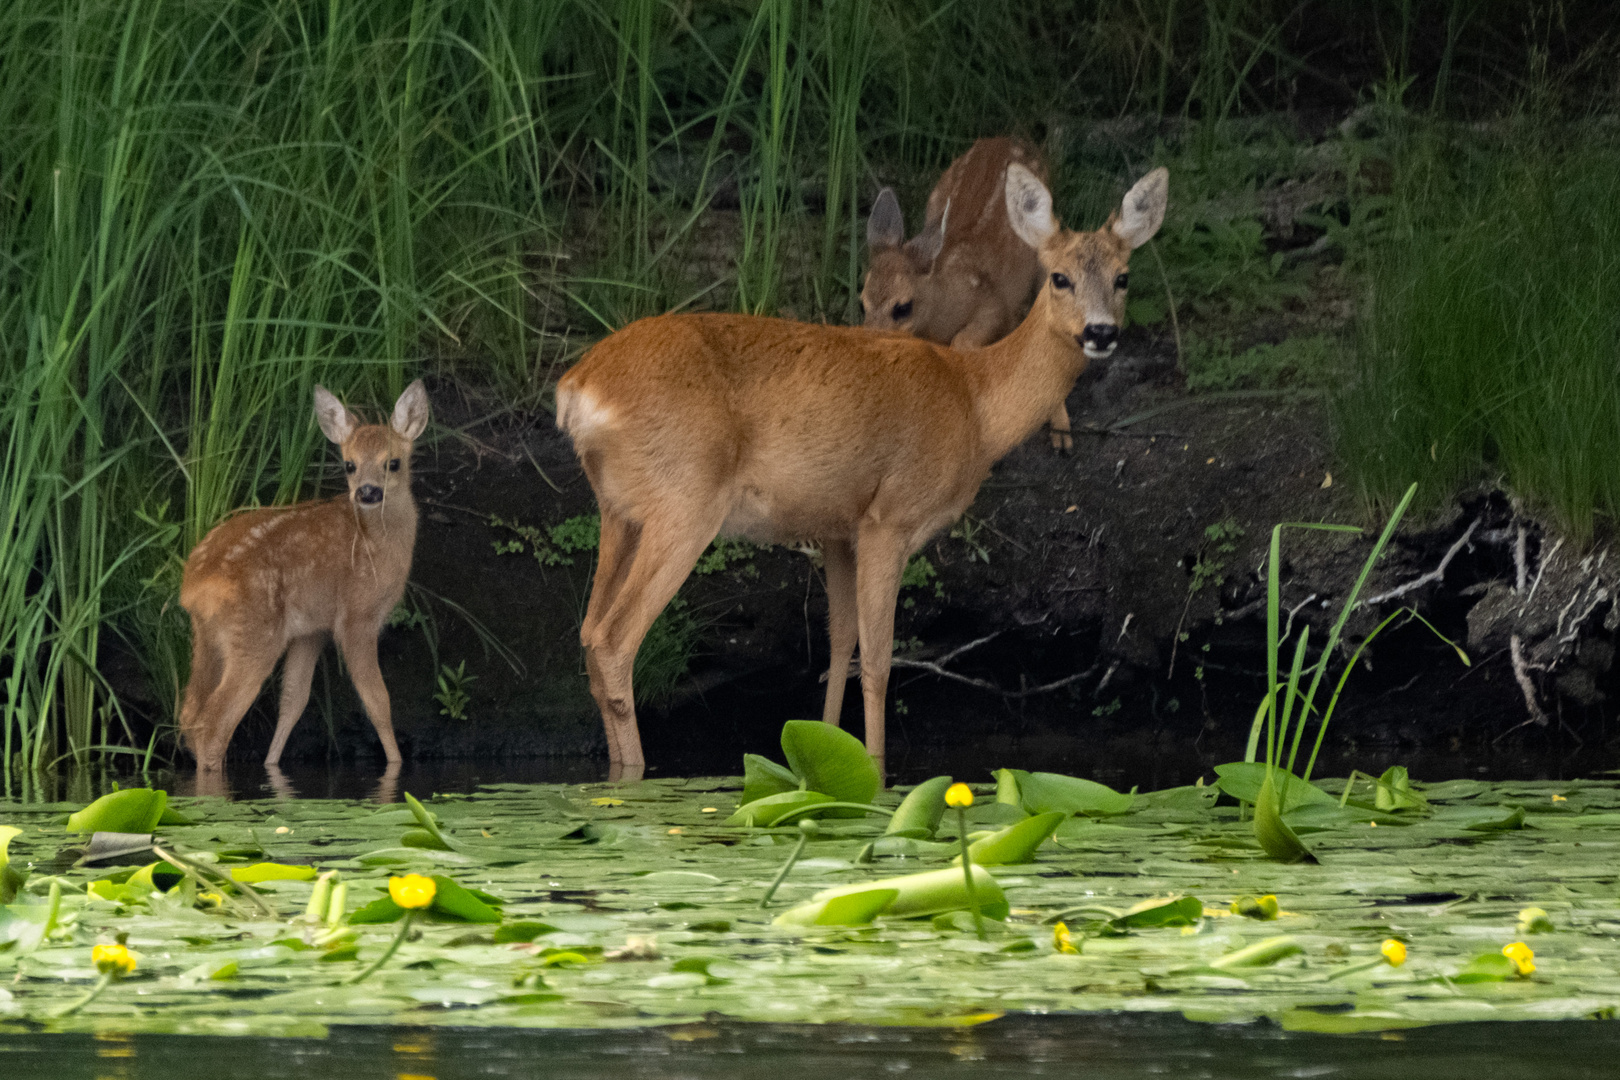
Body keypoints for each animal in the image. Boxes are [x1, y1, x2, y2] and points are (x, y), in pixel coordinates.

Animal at [179, 383, 430, 773]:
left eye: (393, 462)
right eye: (349, 464)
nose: (368, 492)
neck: (377, 542)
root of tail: (194, 586)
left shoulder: (312, 631)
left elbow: (293, 702)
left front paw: (271, 766)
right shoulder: (356, 617)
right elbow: (378, 702)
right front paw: (396, 765)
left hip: (207, 635)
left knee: (190, 711)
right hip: (255, 634)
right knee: (214, 722)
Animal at [861, 138, 1075, 453]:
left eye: (902, 307)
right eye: (862, 303)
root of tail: (1016, 139)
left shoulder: (994, 305)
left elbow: (968, 340)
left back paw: (1061, 433)